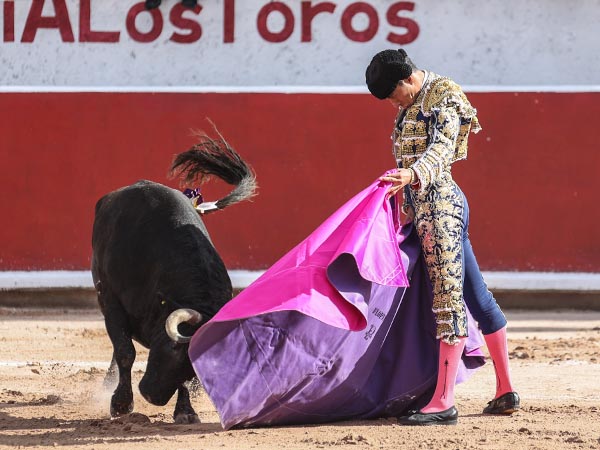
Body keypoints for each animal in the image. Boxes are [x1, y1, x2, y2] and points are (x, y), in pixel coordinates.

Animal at [91, 135, 255, 424]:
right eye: (173, 349)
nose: (152, 397)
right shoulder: (111, 300)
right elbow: (125, 352)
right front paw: (120, 405)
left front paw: (186, 412)